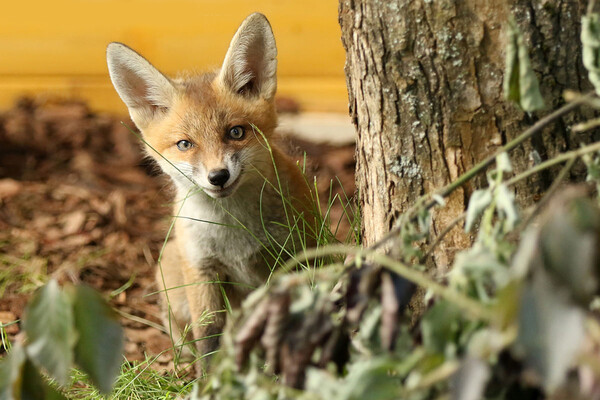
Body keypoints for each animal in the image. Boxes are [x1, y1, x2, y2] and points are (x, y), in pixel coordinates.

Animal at [105, 13, 316, 362]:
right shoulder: (202, 269)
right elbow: (208, 337)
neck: (234, 233)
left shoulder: (292, 255)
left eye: (236, 132)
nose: (218, 176)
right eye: (185, 144)